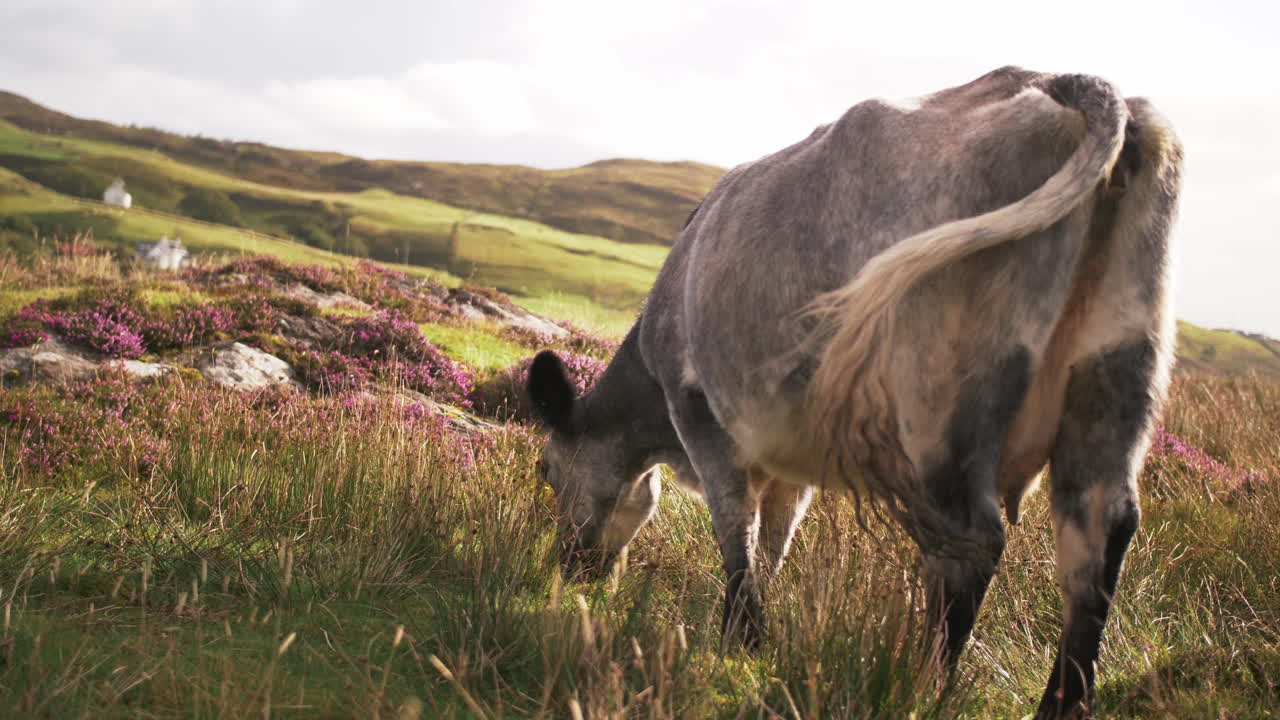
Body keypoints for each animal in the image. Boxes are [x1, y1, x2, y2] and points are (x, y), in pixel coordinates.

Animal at [526, 66, 1182, 718]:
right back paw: (1061, 703)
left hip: (938, 396)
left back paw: (921, 685)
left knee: (971, 542)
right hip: (1115, 371)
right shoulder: (789, 457)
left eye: (546, 469)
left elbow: (736, 532)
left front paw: (740, 637)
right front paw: (754, 638)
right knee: (1097, 538)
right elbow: (774, 541)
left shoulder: (702, 415)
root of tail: (1055, 80)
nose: (570, 570)